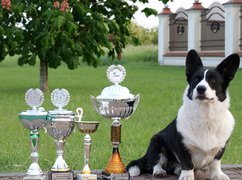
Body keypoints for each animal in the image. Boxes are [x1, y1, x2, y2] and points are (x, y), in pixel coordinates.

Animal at [126, 49, 240, 180]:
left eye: (213, 80)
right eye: (195, 79)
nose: (200, 88)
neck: (205, 115)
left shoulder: (220, 148)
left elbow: (215, 163)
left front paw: (218, 175)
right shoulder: (182, 146)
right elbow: (187, 163)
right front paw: (187, 176)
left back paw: (177, 169)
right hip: (156, 143)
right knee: (156, 163)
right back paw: (159, 171)